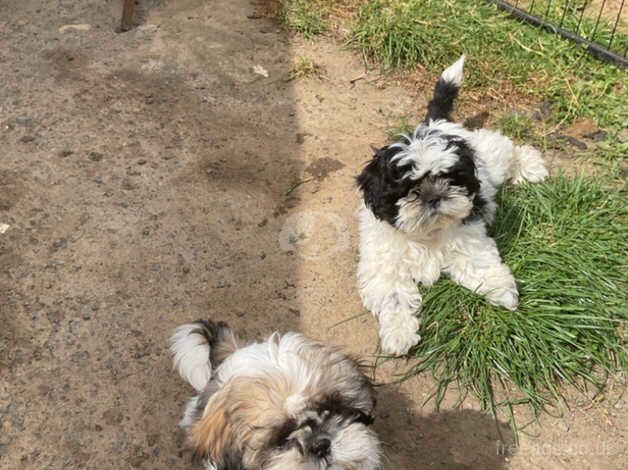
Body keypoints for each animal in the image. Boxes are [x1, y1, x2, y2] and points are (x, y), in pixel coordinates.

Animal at [356, 55, 548, 354]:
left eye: (449, 178)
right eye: (409, 190)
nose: (434, 196)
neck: (426, 233)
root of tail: (437, 122)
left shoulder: (469, 239)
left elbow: (479, 263)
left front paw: (503, 292)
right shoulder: (384, 265)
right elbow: (393, 296)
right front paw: (399, 334)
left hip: (489, 155)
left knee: (508, 148)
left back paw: (531, 168)